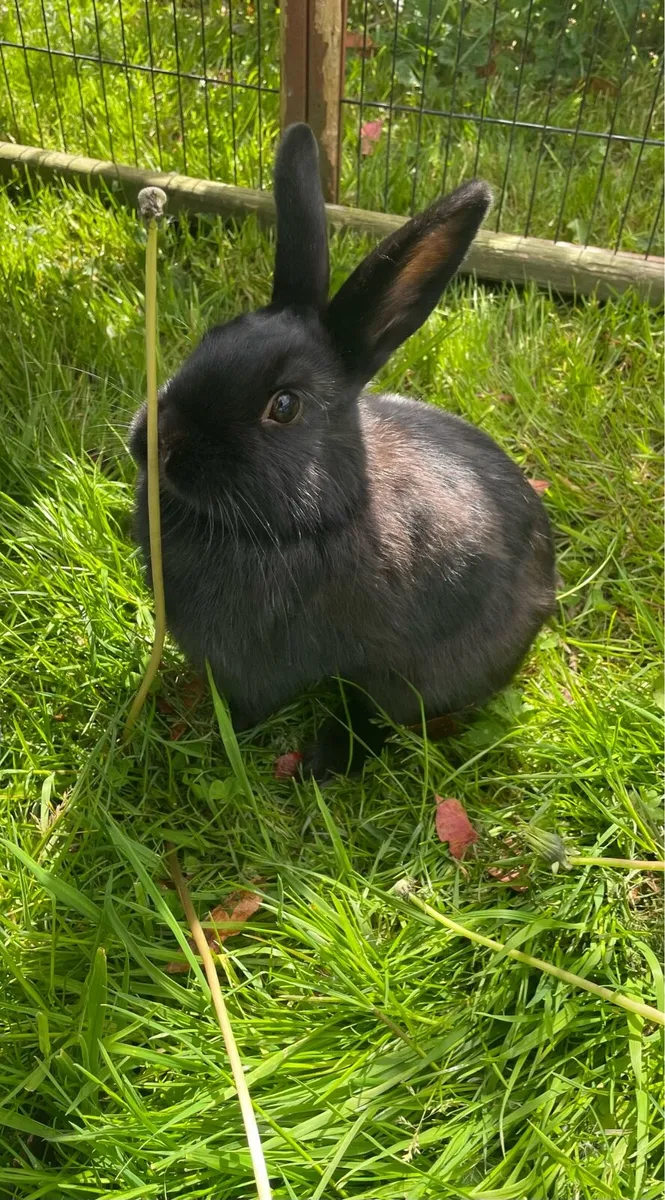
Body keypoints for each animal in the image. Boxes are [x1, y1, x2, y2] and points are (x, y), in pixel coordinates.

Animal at [129, 122, 556, 780]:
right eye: (212, 337)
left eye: (284, 406)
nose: (156, 443)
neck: (313, 521)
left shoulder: (256, 668)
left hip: (414, 678)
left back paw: (322, 760)